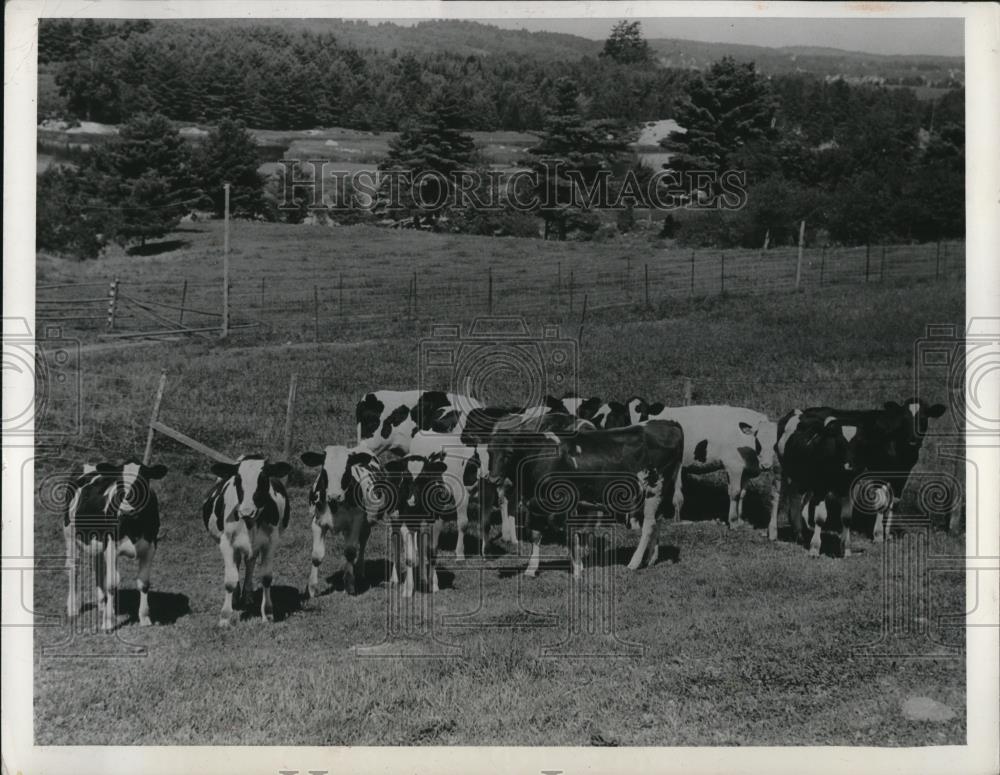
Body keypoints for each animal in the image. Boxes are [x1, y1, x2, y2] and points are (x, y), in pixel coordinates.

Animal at [64, 460, 168, 632]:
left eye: (142, 481)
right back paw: (73, 608)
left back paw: (101, 605)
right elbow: (112, 583)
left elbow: (144, 583)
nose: (125, 509)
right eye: (118, 482)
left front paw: (144, 618)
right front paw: (108, 622)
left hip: (98, 543)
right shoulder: (111, 546)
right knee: (74, 568)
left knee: (98, 567)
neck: (133, 525)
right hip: (70, 535)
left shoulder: (151, 547)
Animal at [201, 454, 292, 624]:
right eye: (237, 479)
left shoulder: (271, 543)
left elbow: (266, 577)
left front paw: (267, 612)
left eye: (263, 479)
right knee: (237, 564)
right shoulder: (226, 544)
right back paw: (236, 597)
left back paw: (247, 596)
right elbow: (230, 580)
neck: (250, 522)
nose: (246, 511)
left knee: (250, 563)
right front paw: (225, 616)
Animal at [294, 446, 384, 596]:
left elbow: (350, 552)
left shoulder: (357, 521)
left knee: (363, 542)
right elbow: (317, 556)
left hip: (367, 523)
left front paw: (349, 584)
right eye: (324, 471)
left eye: (346, 470)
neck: (334, 505)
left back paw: (359, 571)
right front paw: (312, 588)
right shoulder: (317, 522)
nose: (334, 495)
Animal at [486, 422, 688, 580]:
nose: (493, 480)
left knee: (649, 524)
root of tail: (669, 423)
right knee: (658, 521)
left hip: (654, 488)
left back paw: (635, 562)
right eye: (489, 451)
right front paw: (531, 569)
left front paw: (576, 570)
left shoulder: (565, 500)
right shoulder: (533, 503)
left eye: (509, 453)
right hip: (660, 492)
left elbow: (569, 534)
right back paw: (651, 558)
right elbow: (535, 535)